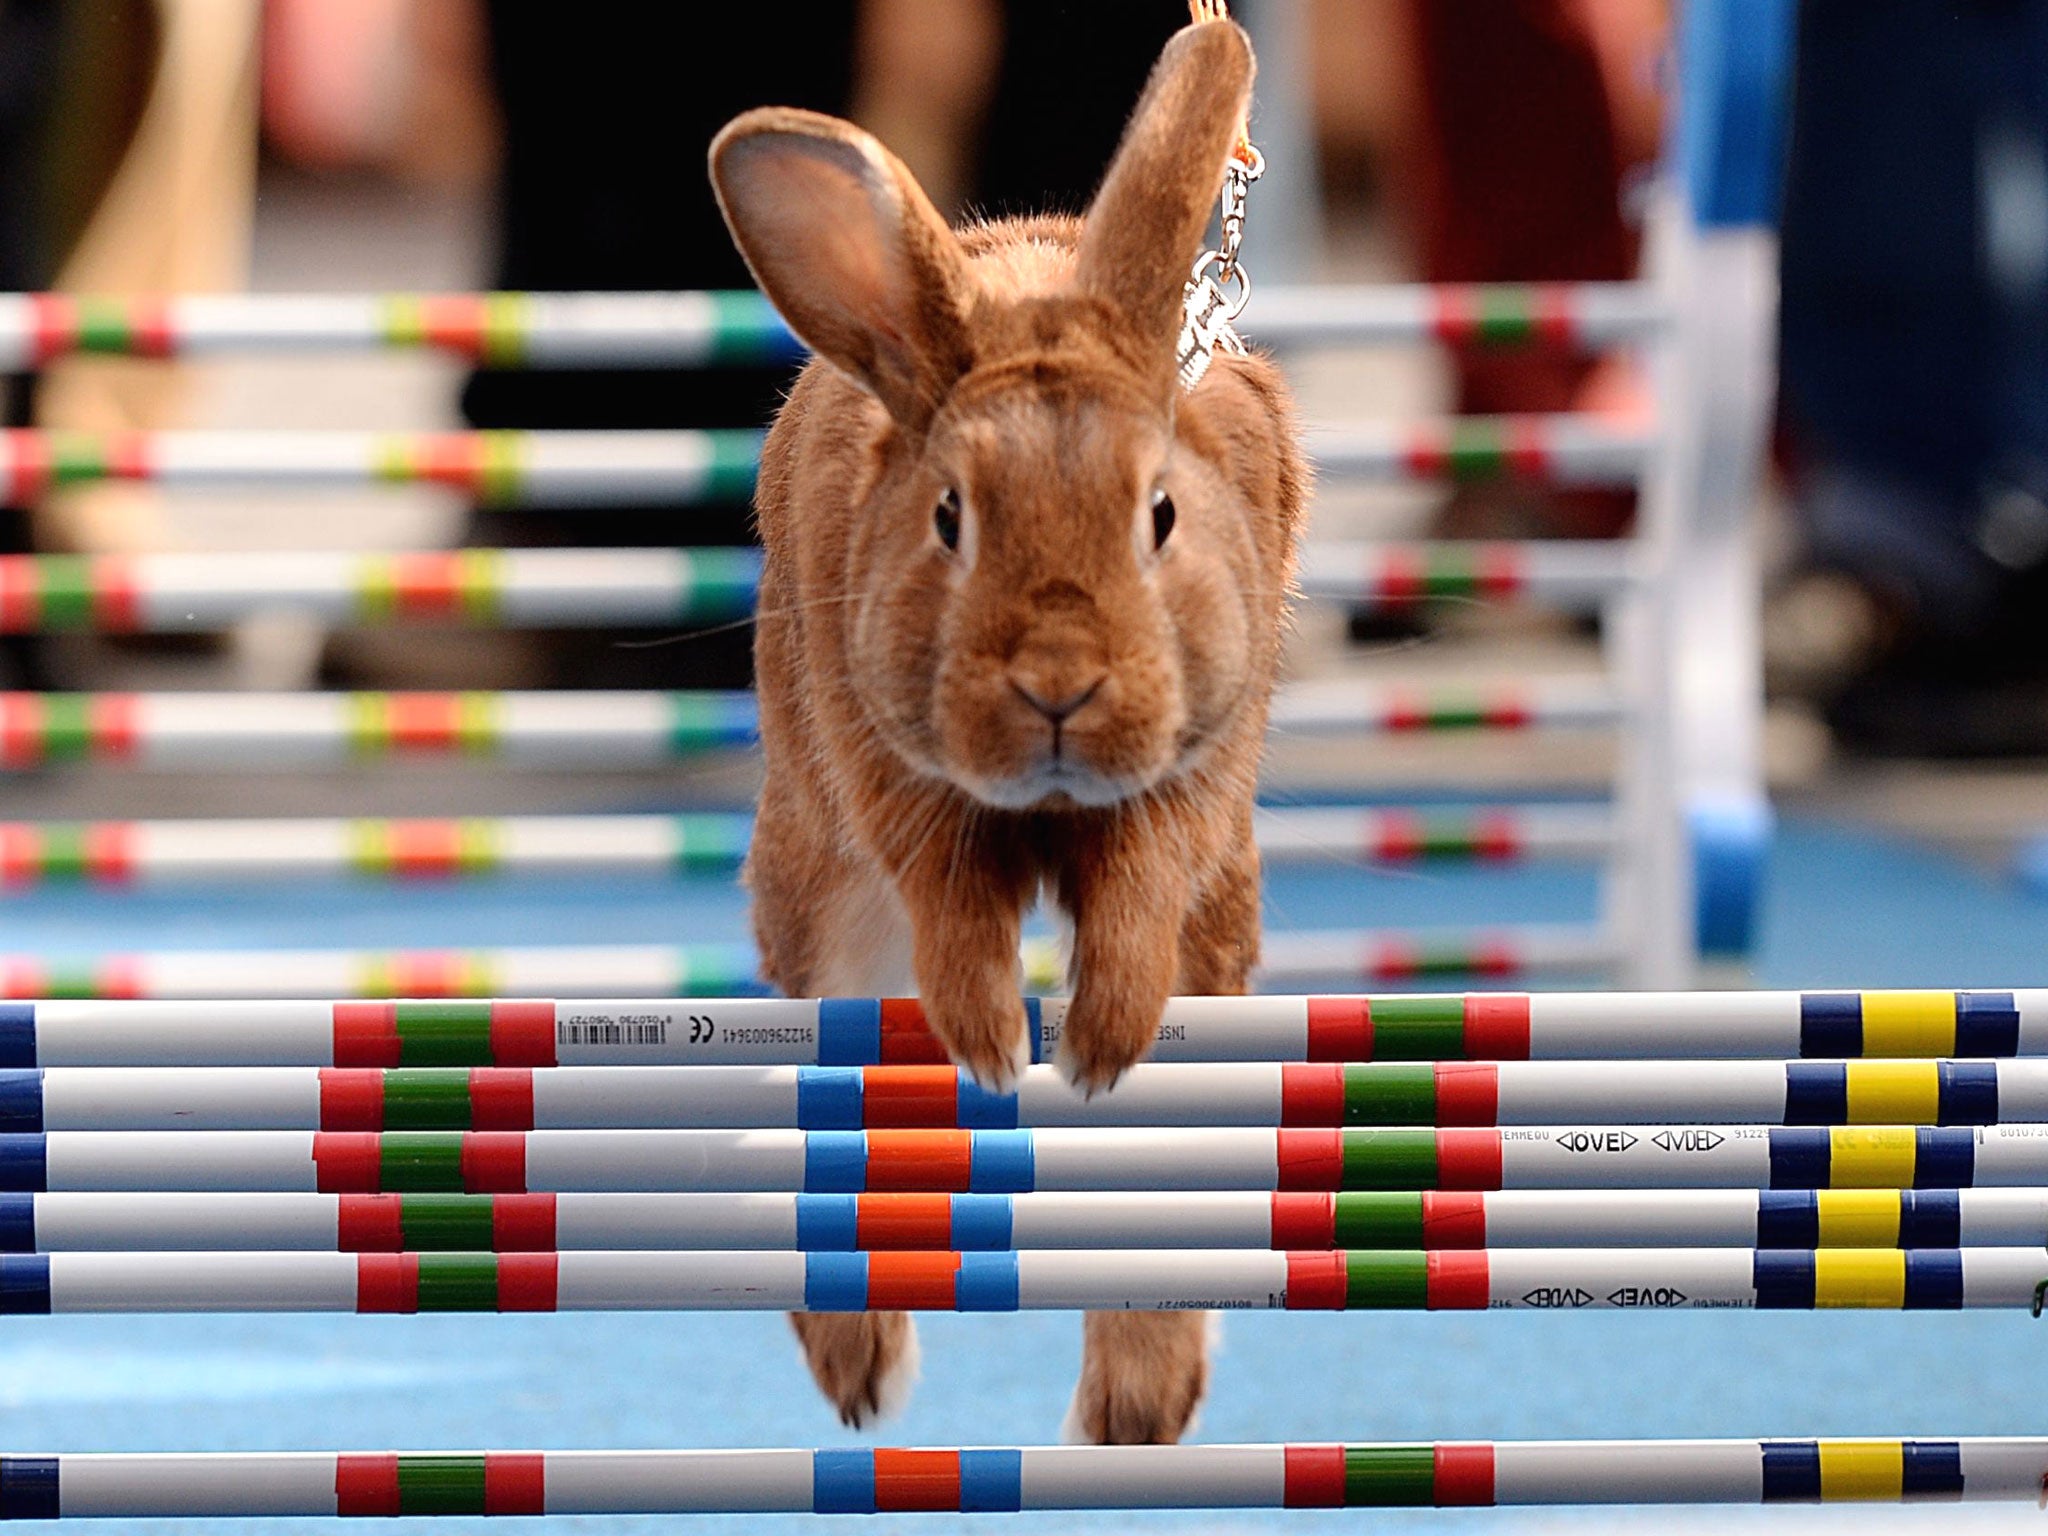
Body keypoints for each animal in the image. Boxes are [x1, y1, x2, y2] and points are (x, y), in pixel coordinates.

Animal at [712, 18, 1302, 1449]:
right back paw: (859, 1377)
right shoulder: (892, 787)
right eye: (948, 517)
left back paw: (1134, 1413)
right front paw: (990, 1048)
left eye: (1159, 513)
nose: (1056, 685)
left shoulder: (1190, 786)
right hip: (818, 892)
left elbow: (1138, 897)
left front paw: (1094, 1048)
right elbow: (956, 915)